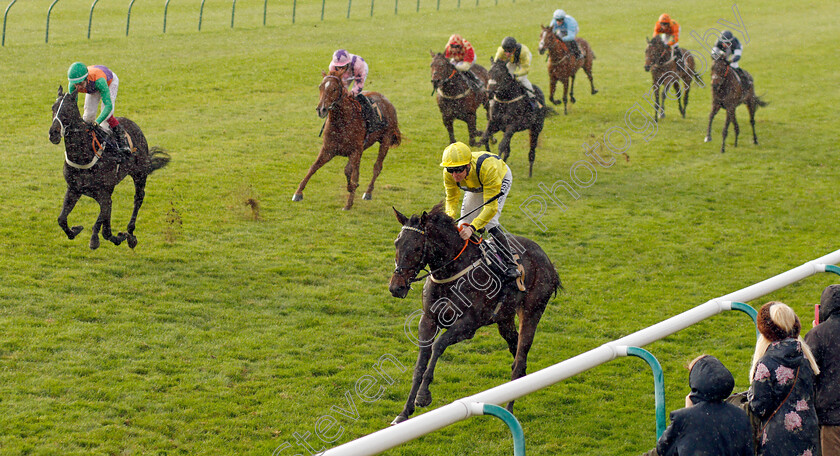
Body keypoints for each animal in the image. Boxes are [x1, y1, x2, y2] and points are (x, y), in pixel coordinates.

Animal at [48, 85, 170, 249]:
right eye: (53, 108)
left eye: (68, 109)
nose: (53, 133)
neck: (83, 157)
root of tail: (132, 124)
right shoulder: (74, 189)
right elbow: (62, 219)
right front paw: (76, 229)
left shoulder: (104, 193)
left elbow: (105, 228)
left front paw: (114, 237)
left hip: (140, 173)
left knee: (138, 198)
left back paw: (130, 232)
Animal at [294, 71, 402, 210]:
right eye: (320, 87)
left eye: (334, 89)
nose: (321, 110)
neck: (342, 122)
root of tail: (388, 102)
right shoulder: (328, 150)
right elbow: (313, 167)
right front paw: (298, 193)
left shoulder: (355, 151)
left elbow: (348, 171)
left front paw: (349, 198)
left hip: (385, 140)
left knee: (377, 167)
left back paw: (368, 193)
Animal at [388, 203, 560, 424]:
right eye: (397, 243)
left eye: (417, 248)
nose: (396, 287)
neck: (452, 271)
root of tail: (547, 260)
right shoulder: (428, 321)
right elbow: (420, 363)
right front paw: (404, 412)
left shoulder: (469, 324)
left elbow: (438, 345)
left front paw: (423, 395)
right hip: (504, 319)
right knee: (516, 352)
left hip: (532, 312)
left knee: (520, 358)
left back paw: (509, 409)